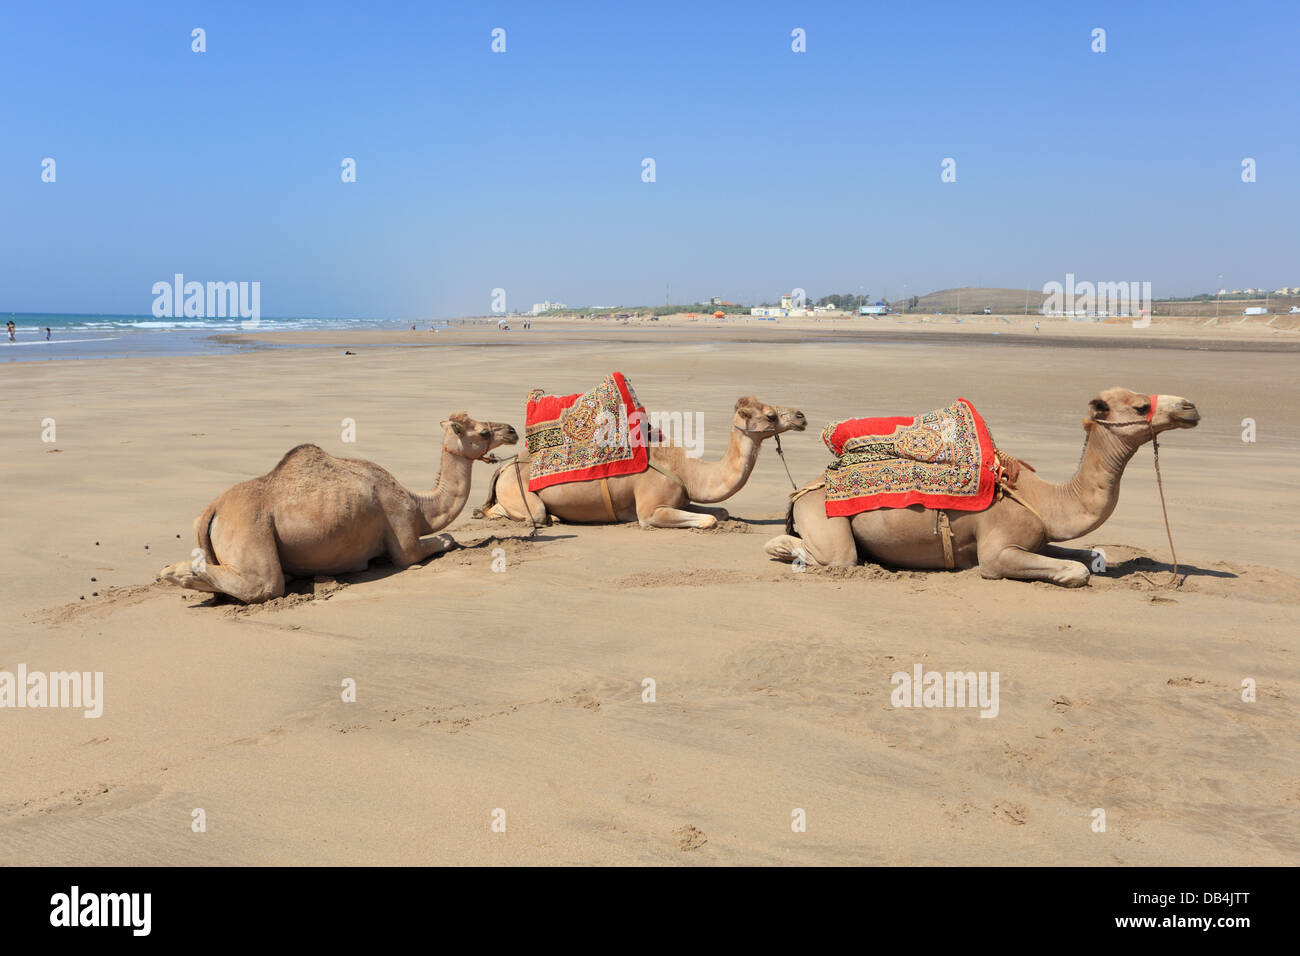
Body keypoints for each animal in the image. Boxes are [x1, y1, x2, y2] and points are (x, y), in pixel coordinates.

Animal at [163, 413, 522, 606]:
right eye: (483, 431)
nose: (511, 430)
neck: (419, 506)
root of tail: (212, 510)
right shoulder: (403, 539)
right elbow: (445, 539)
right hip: (252, 531)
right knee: (265, 584)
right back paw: (173, 571)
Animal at [478, 395, 800, 530]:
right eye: (770, 415)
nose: (801, 416)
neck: (688, 470)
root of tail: (505, 466)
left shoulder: (681, 498)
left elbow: (720, 511)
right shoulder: (650, 510)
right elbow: (708, 519)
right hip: (520, 495)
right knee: (525, 513)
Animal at [764, 387, 1201, 582]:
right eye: (1140, 405)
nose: (1190, 406)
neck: (1046, 498)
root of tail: (803, 490)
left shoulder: (1036, 536)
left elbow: (1088, 556)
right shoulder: (998, 550)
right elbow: (1076, 572)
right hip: (825, 521)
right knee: (833, 555)